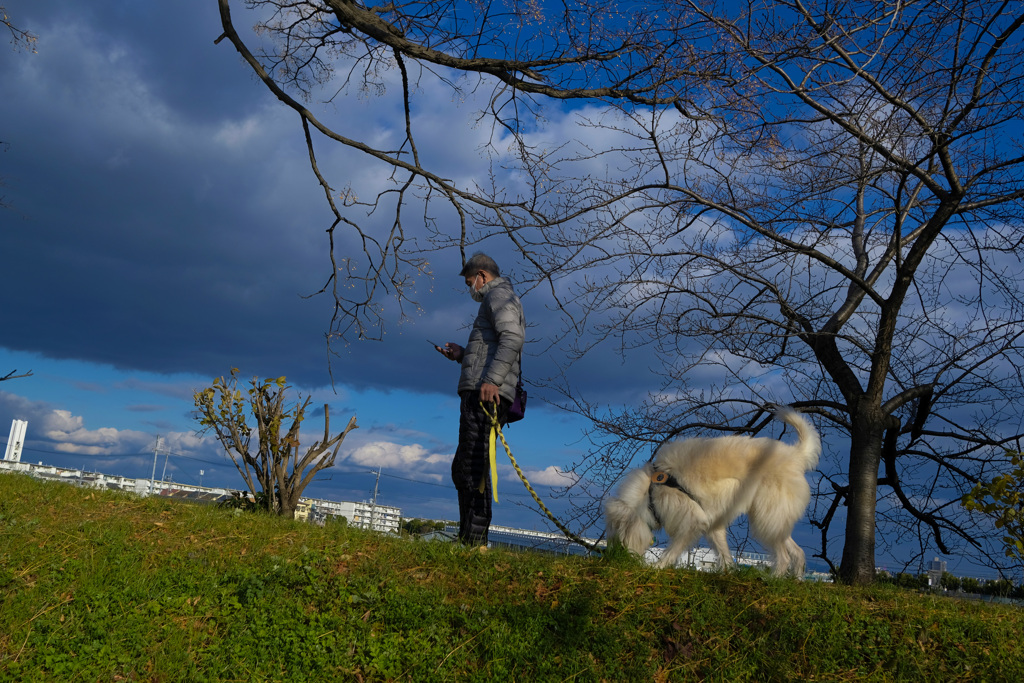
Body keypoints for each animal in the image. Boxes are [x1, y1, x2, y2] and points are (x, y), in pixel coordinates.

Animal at [602, 405, 819, 577]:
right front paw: (729, 574)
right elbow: (724, 554)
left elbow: (673, 550)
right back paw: (796, 581)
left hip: (767, 519)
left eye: (616, 536)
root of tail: (795, 456)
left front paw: (658, 567)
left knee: (784, 557)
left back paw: (772, 580)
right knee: (798, 553)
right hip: (776, 521)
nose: (613, 558)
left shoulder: (692, 522)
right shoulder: (713, 524)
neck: (649, 493)